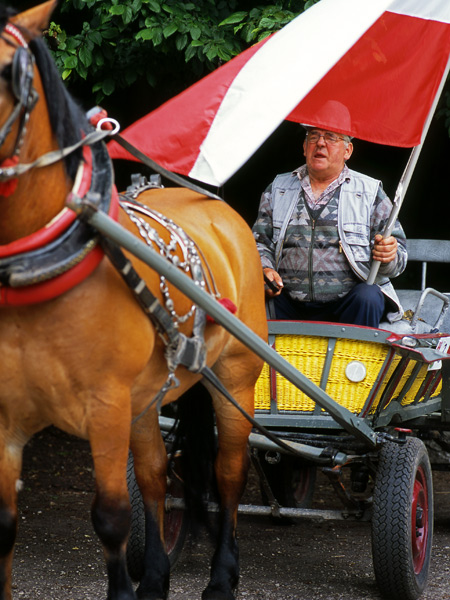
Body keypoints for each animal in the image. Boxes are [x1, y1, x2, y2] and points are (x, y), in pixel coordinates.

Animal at [0, 2, 268, 596]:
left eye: (9, 72)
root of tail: (214, 204)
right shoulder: (5, 417)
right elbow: (5, 526)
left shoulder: (104, 405)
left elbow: (111, 518)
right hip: (147, 399)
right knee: (153, 475)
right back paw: (157, 577)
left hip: (236, 376)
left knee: (229, 476)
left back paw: (223, 574)